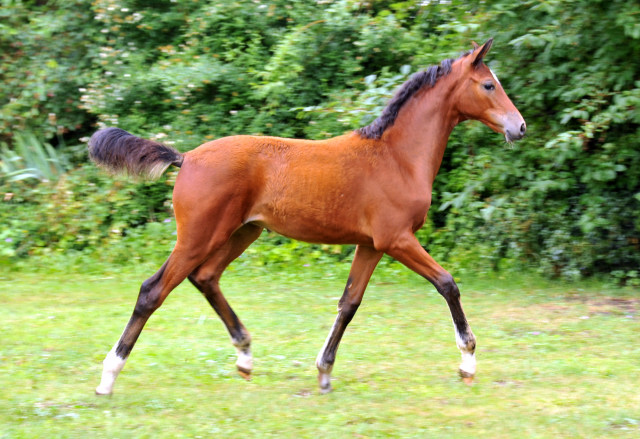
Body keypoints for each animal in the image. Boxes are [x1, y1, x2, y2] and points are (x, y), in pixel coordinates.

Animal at [92, 40, 528, 396]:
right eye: (488, 85)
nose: (520, 127)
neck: (397, 157)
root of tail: (186, 158)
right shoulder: (397, 239)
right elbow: (447, 284)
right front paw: (468, 362)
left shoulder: (371, 245)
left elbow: (349, 303)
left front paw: (324, 372)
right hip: (199, 235)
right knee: (153, 291)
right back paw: (108, 377)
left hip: (242, 233)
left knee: (206, 277)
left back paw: (245, 355)